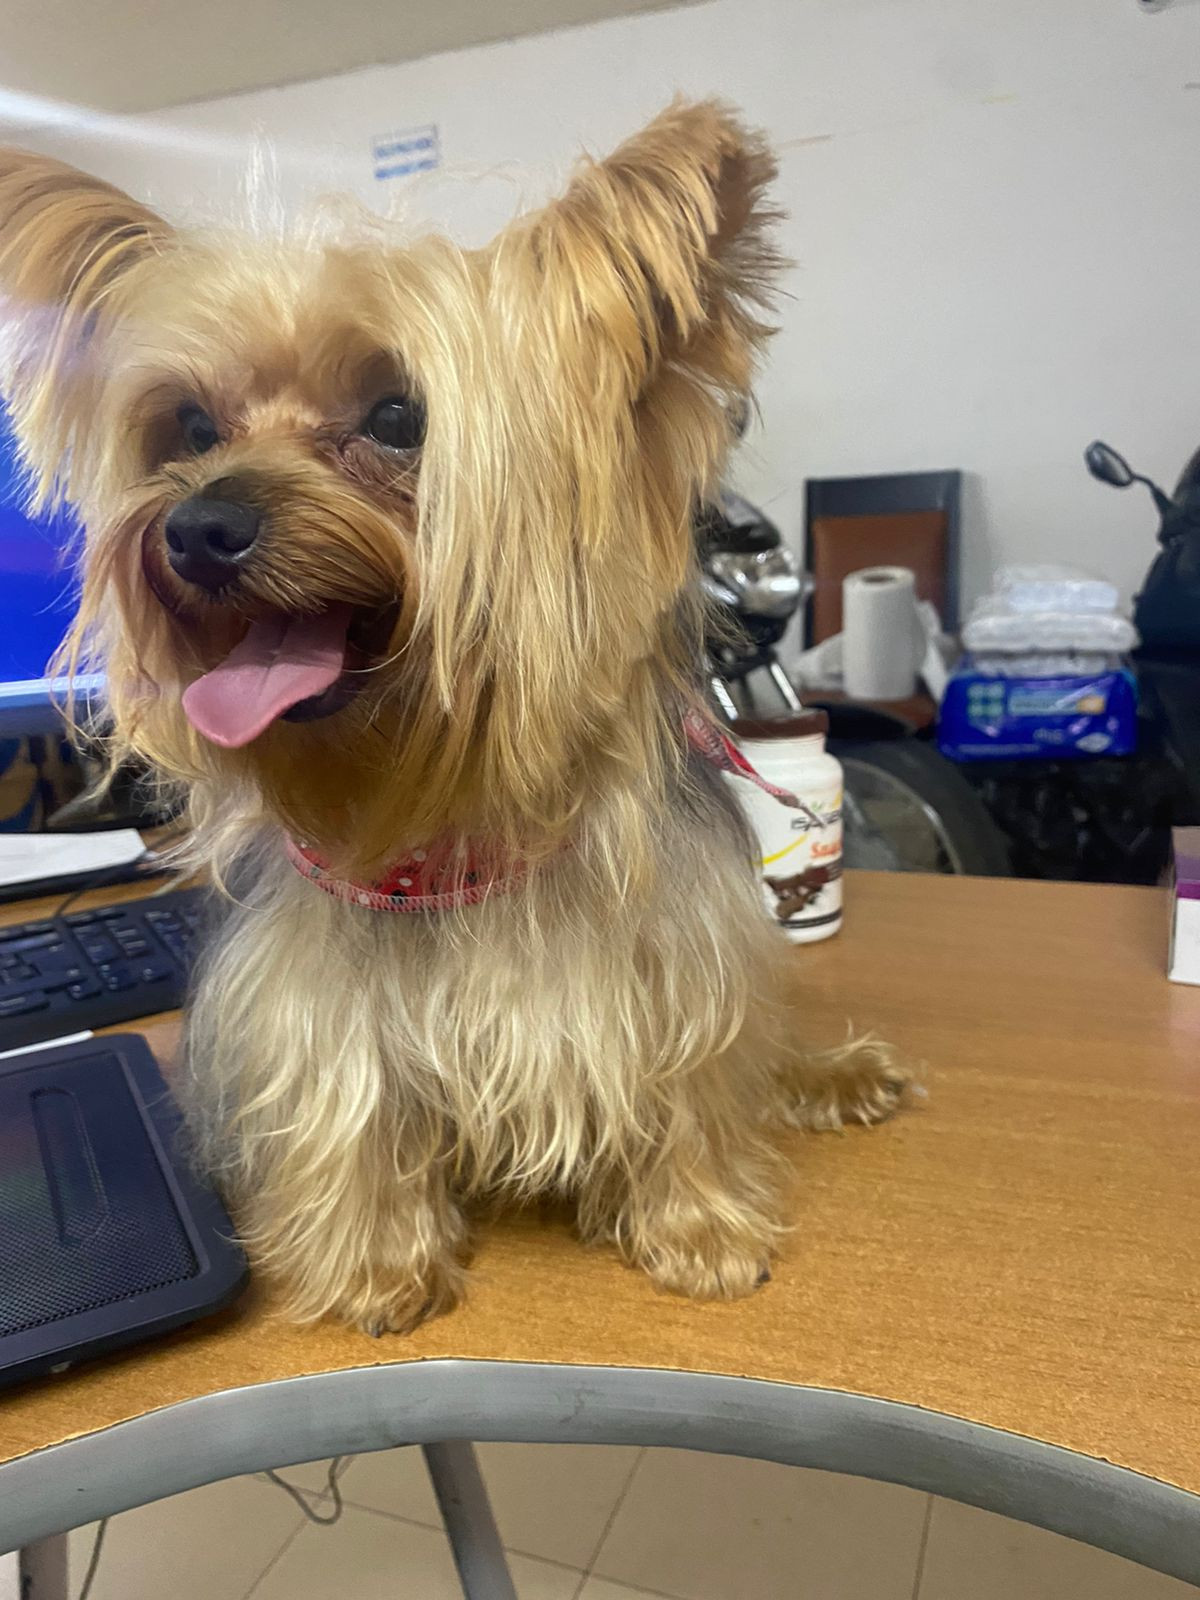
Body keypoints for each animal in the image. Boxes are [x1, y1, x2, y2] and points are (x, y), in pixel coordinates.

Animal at [0, 102, 908, 1333]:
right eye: (187, 427)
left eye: (397, 414)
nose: (195, 528)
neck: (445, 814)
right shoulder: (311, 995)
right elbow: (350, 1092)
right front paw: (378, 1261)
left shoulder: (678, 959)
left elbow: (688, 1076)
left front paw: (699, 1223)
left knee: (761, 1057)